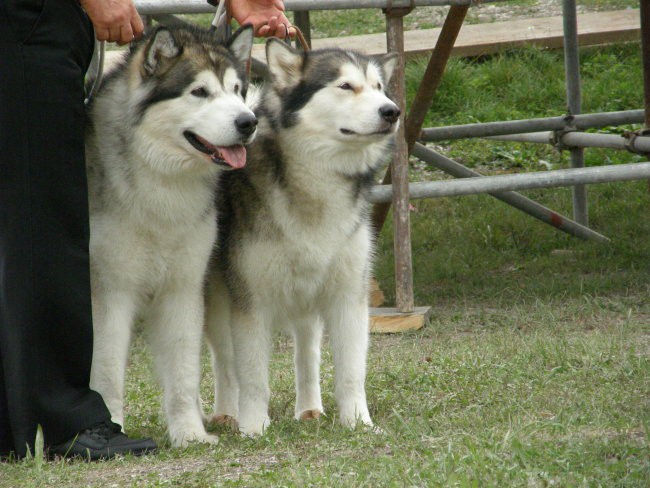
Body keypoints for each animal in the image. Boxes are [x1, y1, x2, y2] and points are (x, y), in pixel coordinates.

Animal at [85, 25, 256, 446]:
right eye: (200, 91)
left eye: (237, 90)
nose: (249, 122)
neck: (160, 180)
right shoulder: (110, 292)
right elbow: (107, 373)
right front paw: (111, 429)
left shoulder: (183, 288)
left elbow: (184, 372)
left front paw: (189, 434)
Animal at [205, 39, 398, 434]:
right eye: (346, 86)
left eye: (379, 88)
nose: (392, 111)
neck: (317, 185)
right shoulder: (250, 301)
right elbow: (252, 376)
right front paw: (254, 428)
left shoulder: (349, 295)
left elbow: (351, 372)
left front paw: (358, 422)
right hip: (216, 300)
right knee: (225, 360)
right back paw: (227, 412)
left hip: (307, 297)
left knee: (306, 352)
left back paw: (310, 408)